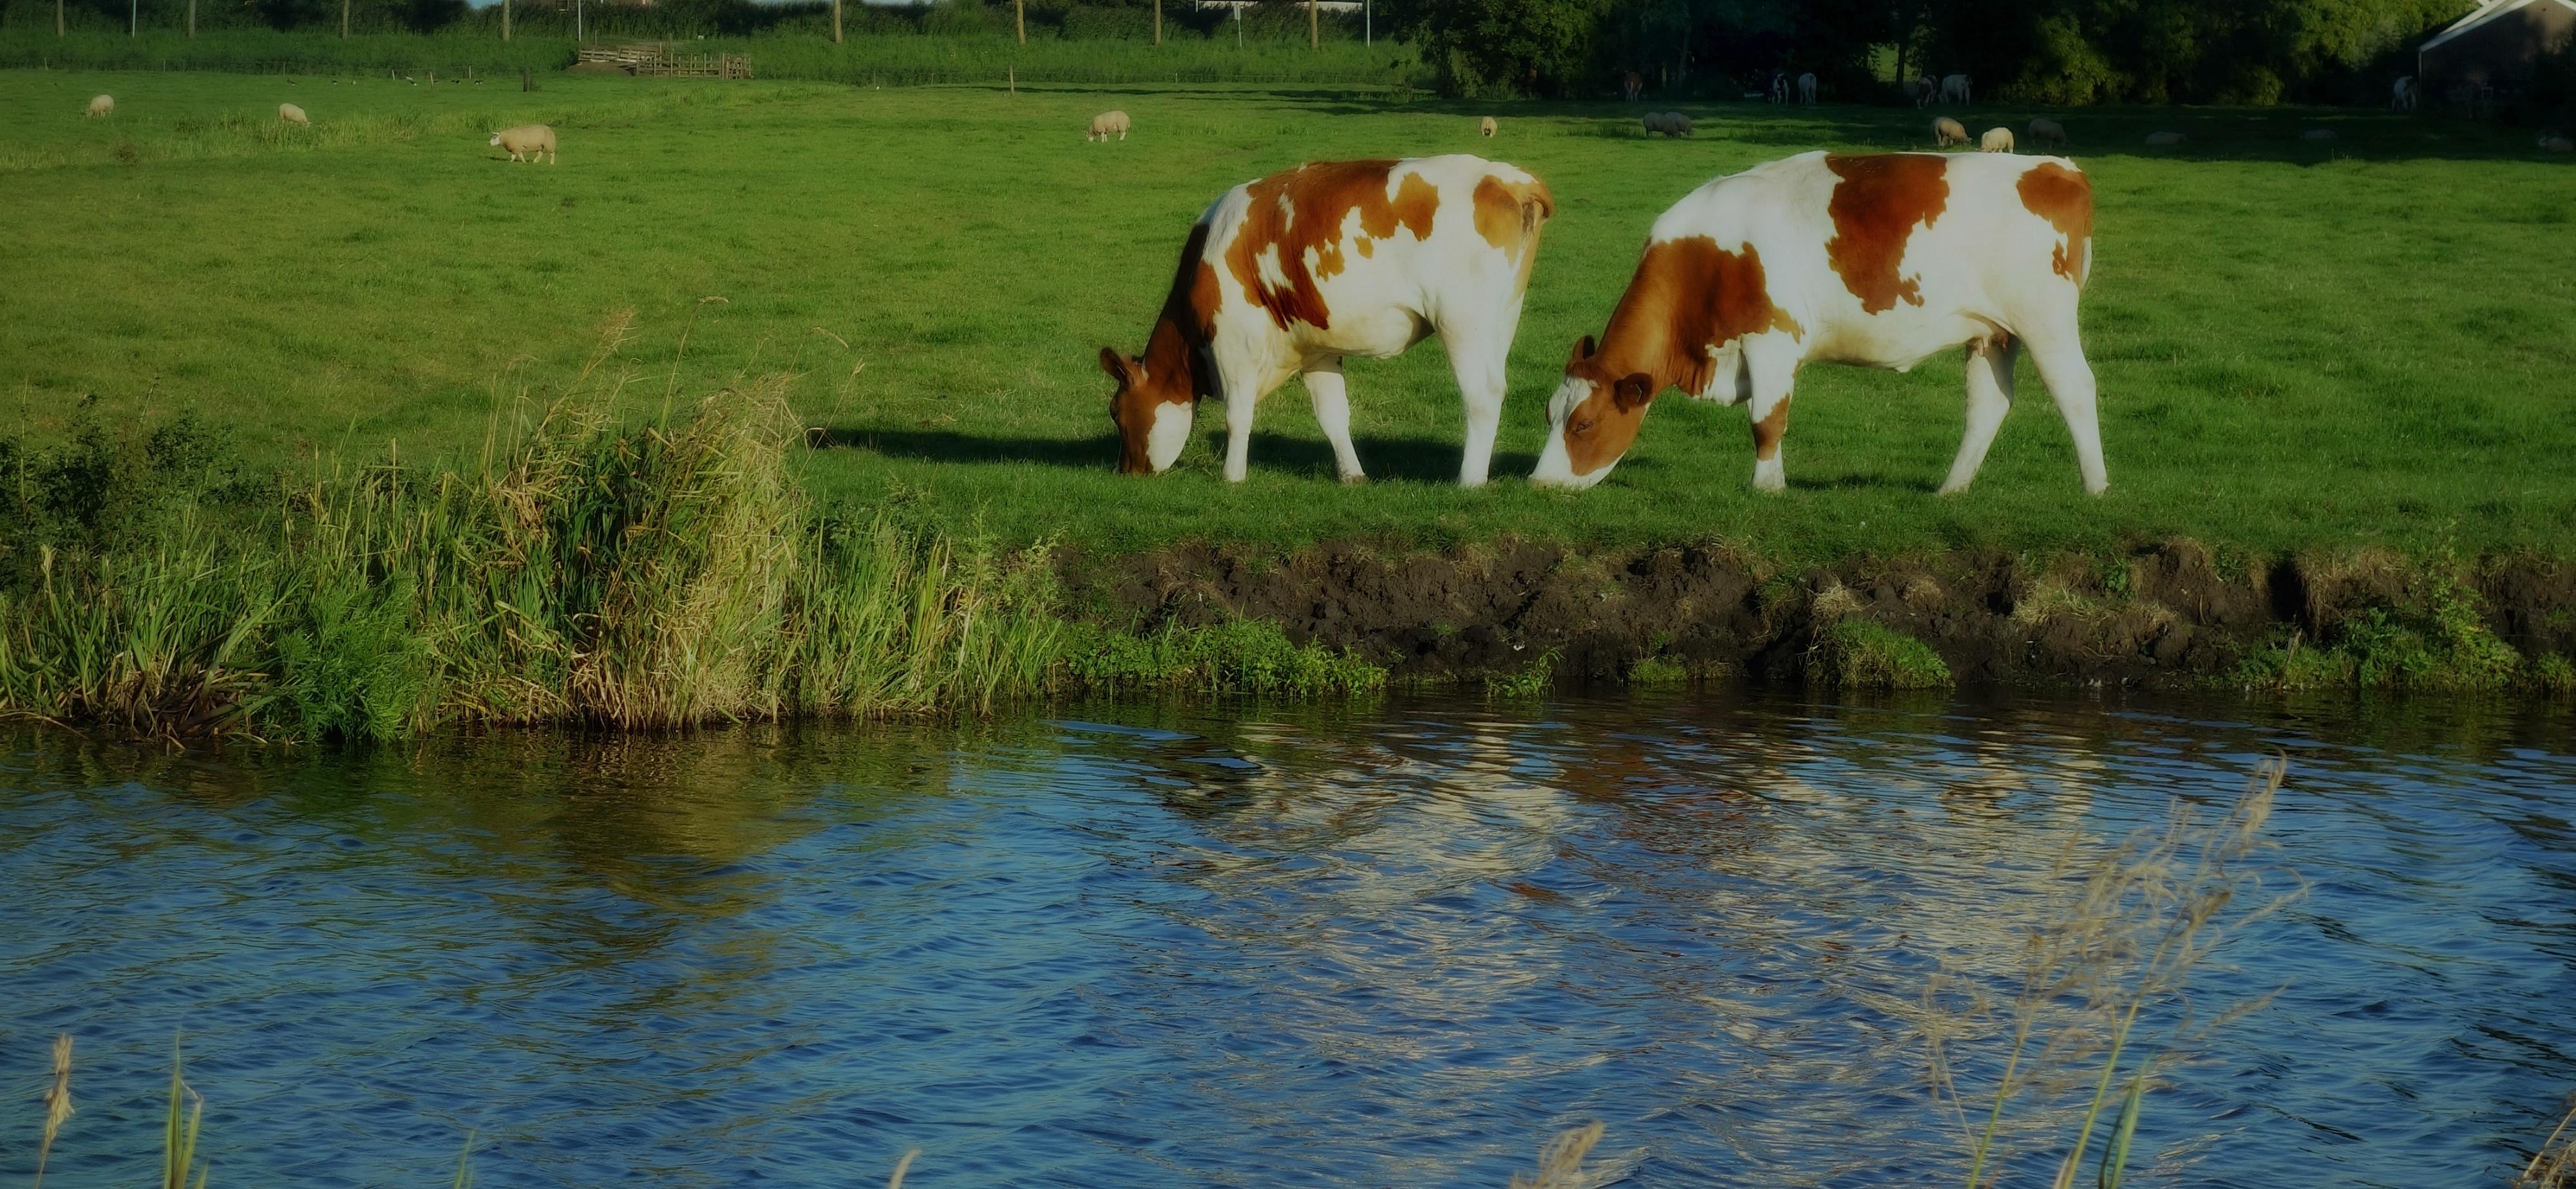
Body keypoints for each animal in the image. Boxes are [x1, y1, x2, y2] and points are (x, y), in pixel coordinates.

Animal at [1103, 156, 1556, 483]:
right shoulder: (1315, 350)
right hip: (1501, 319)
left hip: (1461, 321)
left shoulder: (1234, 342)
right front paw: (1352, 475)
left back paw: (1469, 481)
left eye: (1116, 412)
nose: (1125, 472)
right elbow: (1333, 415)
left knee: (1482, 395)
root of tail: (1509, 178)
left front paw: (1232, 477)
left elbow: (1237, 415)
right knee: (1497, 386)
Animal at [1525, 151, 2092, 496]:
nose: (1539, 483)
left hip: (2046, 320)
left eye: (1584, 424)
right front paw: (1772, 482)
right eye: (1549, 413)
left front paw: (1765, 487)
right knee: (1987, 406)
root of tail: (2057, 168)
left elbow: (1766, 419)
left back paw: (2096, 487)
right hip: (1993, 333)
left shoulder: (1773, 337)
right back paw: (1951, 489)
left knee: (2076, 390)